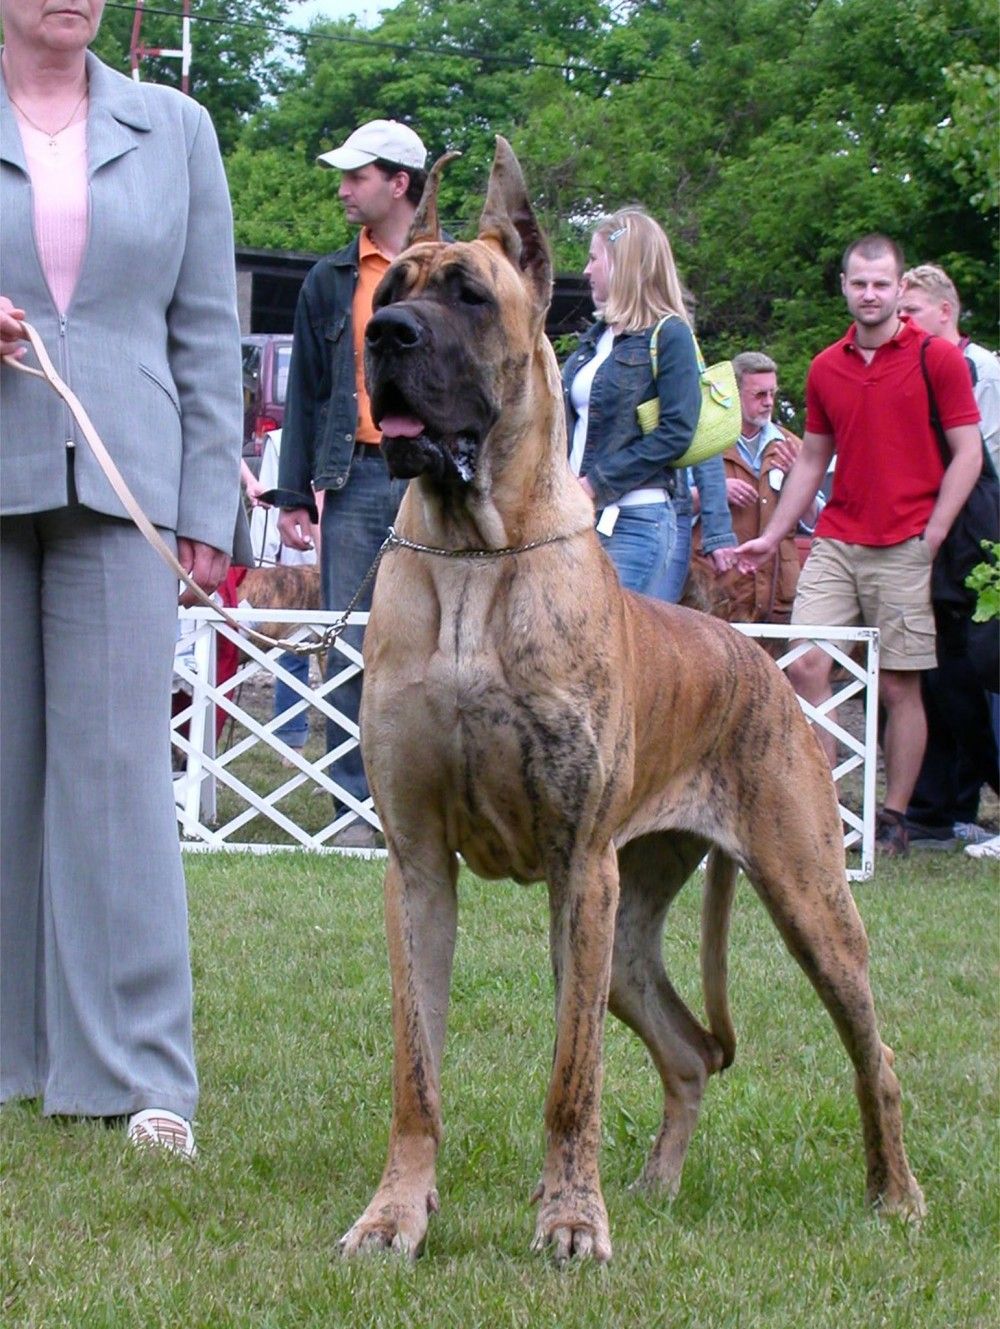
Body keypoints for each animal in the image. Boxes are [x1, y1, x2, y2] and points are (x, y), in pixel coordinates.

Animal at [339, 139, 925, 1263]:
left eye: (468, 296)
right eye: (388, 293)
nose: (386, 335)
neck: (476, 553)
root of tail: (756, 661)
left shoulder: (579, 870)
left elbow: (573, 1080)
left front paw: (571, 1219)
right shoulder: (419, 869)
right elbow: (414, 1074)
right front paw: (395, 1214)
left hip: (797, 901)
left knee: (872, 1053)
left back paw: (897, 1195)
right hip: (628, 930)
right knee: (691, 1049)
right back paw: (655, 1183)